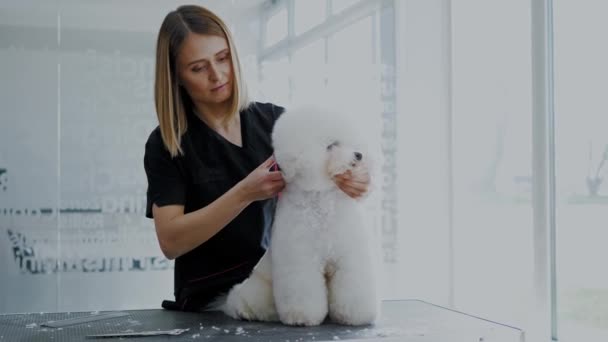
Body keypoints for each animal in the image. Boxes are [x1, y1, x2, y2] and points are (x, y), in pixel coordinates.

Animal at [218, 106, 380, 326]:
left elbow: (353, 285)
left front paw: (356, 315)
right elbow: (302, 289)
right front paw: (301, 317)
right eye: (331, 145)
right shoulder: (300, 259)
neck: (321, 200)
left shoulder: (348, 256)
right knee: (242, 299)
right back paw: (244, 311)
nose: (359, 154)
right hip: (258, 288)